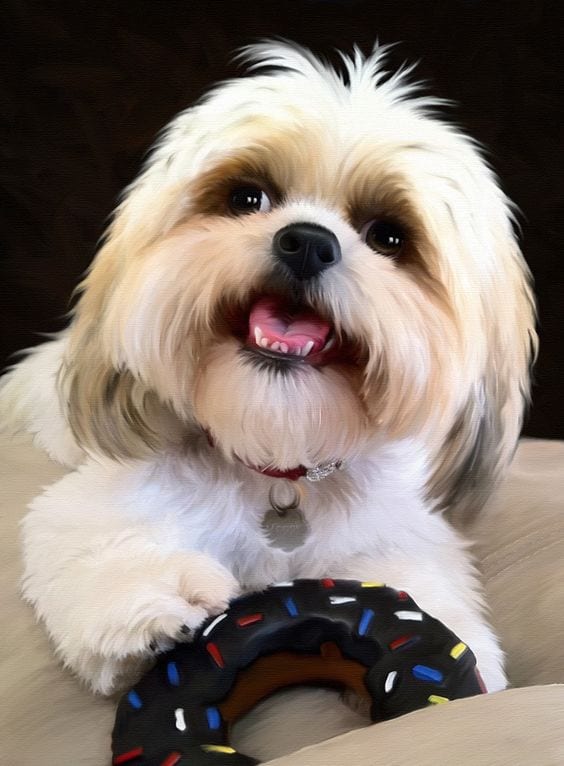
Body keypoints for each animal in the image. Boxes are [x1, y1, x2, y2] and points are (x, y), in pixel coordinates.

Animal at [1, 40, 536, 756]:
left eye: (390, 235)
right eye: (247, 195)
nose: (307, 240)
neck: (277, 452)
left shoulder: (397, 537)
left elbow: (428, 593)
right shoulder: (106, 498)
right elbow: (96, 538)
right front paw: (159, 601)